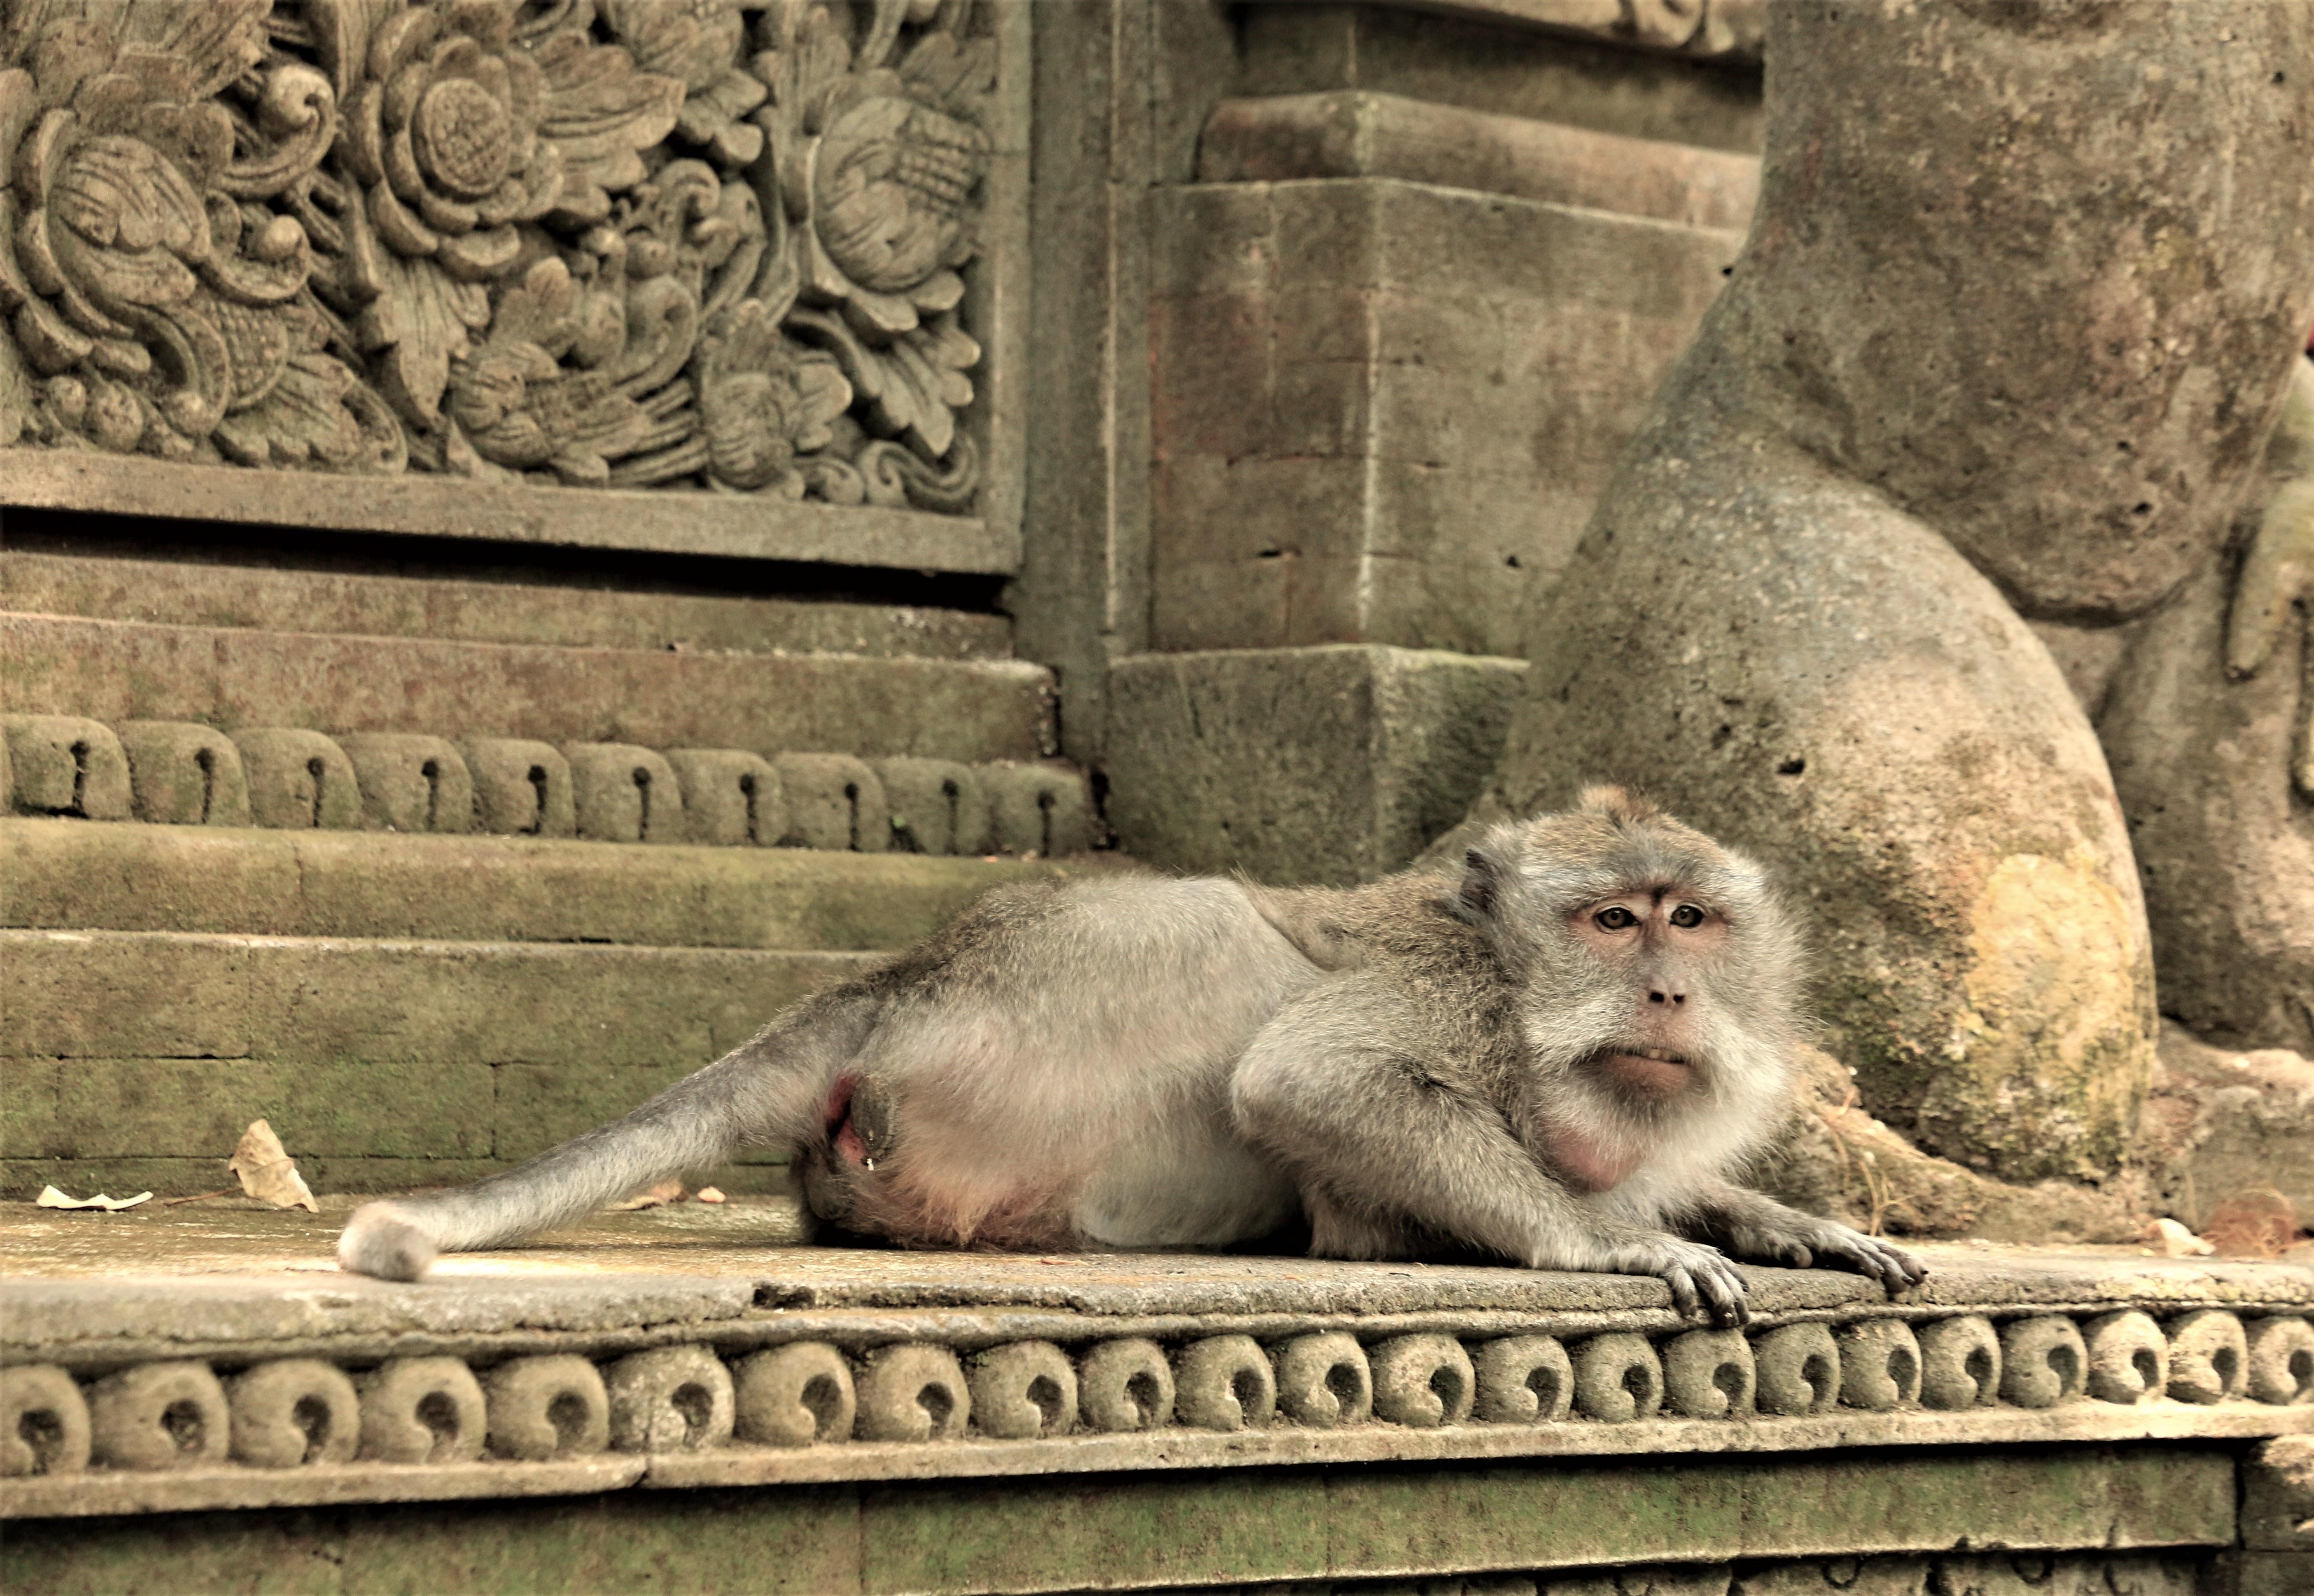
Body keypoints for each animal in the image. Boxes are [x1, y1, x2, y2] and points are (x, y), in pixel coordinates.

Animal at [338, 787, 1925, 1323]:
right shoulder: (1451, 999)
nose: (1664, 989)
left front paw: (1780, 1218)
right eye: (1610, 919)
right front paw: (1605, 1241)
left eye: (1692, 917)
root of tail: (898, 980)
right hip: (1038, 1033)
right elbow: (1308, 1079)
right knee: (1229, 941)